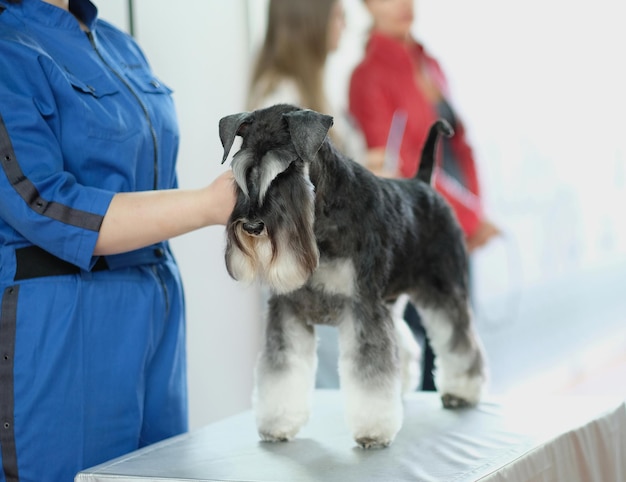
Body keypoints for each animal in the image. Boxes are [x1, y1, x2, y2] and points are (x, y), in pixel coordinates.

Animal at [219, 104, 488, 448]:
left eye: (286, 171)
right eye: (241, 172)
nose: (253, 226)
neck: (320, 219)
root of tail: (424, 184)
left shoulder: (362, 307)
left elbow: (369, 367)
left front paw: (373, 430)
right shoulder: (287, 312)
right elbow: (282, 371)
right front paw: (277, 423)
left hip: (444, 289)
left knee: (459, 339)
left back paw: (462, 391)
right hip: (391, 299)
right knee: (402, 342)